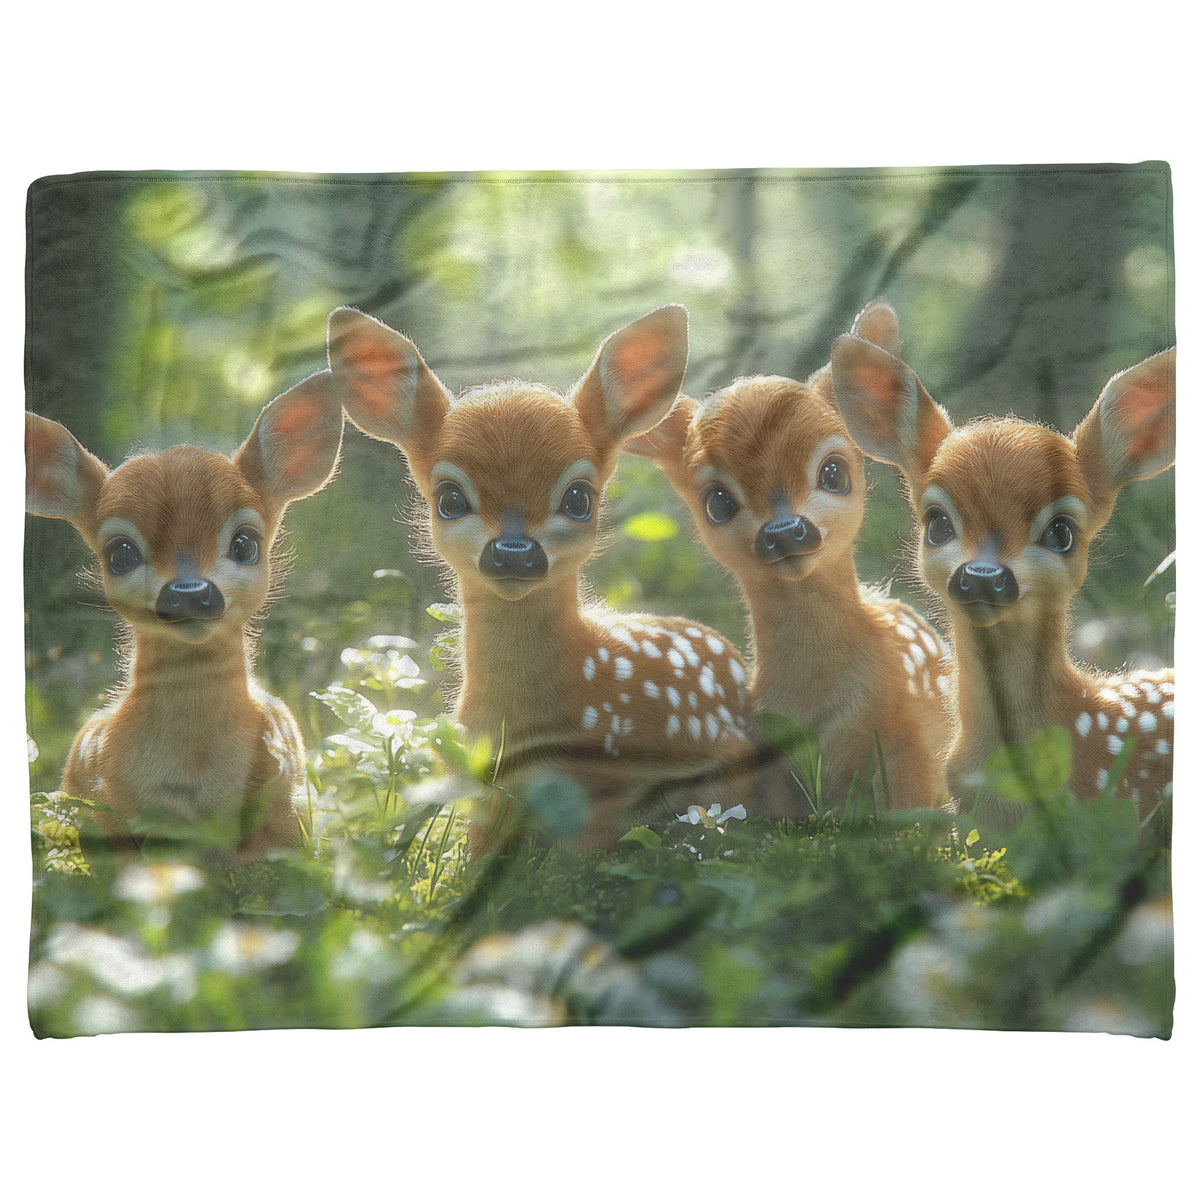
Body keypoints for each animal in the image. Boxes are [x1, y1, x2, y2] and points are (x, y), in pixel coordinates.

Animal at [25, 371, 344, 859]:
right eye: (120, 553)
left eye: (245, 543)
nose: (189, 592)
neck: (193, 776)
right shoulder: (110, 813)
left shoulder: (286, 810)